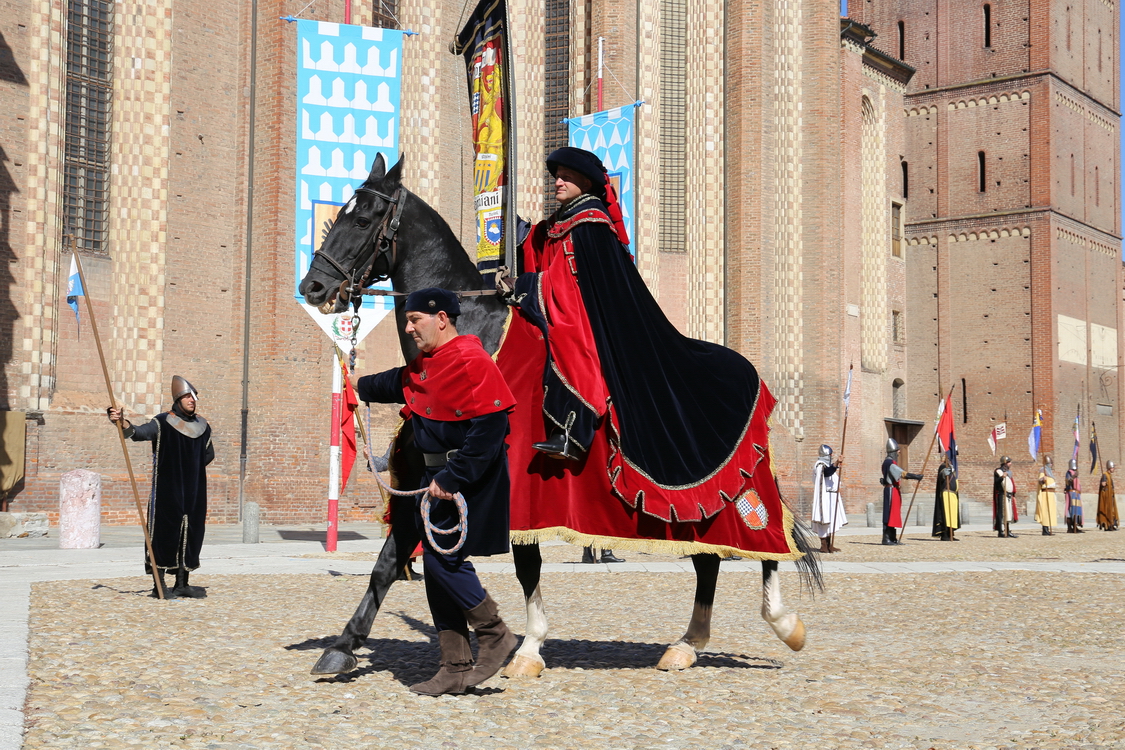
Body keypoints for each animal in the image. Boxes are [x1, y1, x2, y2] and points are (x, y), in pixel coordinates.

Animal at [297, 154, 819, 679]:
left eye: (362, 220)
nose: (313, 286)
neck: (468, 340)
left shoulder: (507, 489)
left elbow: (525, 565)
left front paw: (527, 649)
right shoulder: (427, 488)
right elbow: (387, 564)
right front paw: (344, 644)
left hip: (739, 492)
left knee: (766, 547)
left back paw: (782, 623)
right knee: (708, 558)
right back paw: (686, 645)